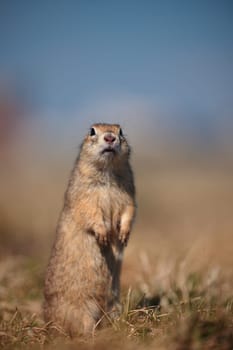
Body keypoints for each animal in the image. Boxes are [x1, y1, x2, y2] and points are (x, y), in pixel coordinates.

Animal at [43, 123, 136, 336]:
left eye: (121, 131)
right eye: (92, 131)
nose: (110, 137)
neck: (108, 173)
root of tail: (48, 323)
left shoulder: (129, 193)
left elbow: (129, 210)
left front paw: (123, 234)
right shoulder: (84, 195)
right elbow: (90, 212)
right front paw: (103, 235)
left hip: (113, 302)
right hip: (82, 308)